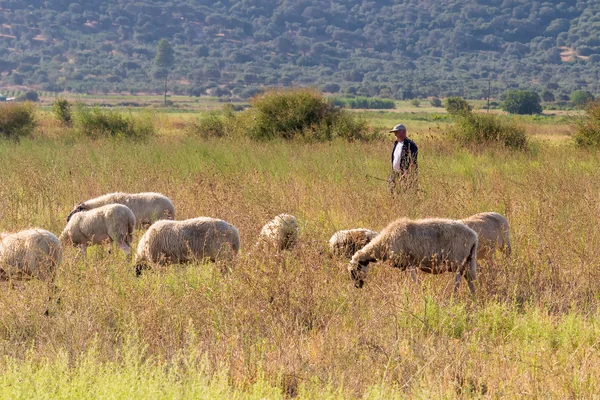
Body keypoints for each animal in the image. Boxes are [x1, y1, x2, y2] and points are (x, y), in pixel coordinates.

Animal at [346, 217, 478, 296]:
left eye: (354, 271)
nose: (357, 286)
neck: (383, 244)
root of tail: (474, 236)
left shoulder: (410, 264)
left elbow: (415, 282)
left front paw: (420, 293)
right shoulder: (405, 267)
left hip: (458, 262)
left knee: (458, 282)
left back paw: (453, 297)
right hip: (469, 261)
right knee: (470, 281)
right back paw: (474, 299)